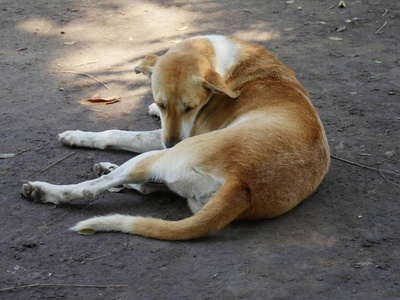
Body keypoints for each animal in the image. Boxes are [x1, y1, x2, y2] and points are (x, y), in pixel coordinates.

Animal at [20, 35, 330, 241]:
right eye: (161, 103)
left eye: (190, 107)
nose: (173, 143)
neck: (225, 63)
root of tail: (241, 184)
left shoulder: (175, 134)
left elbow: (116, 133)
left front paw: (76, 136)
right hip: (173, 172)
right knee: (146, 186)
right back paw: (110, 170)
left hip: (157, 157)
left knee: (94, 188)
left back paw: (46, 190)